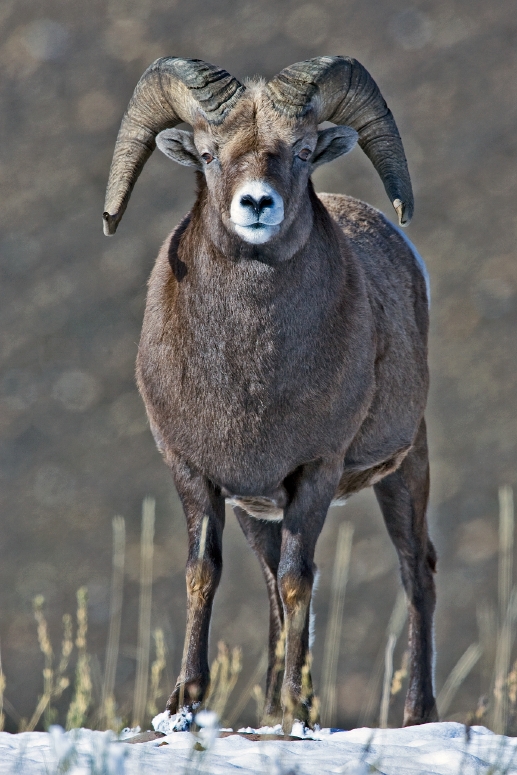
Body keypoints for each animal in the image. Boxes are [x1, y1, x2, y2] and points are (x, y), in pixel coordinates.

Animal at [103, 56, 437, 731]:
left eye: (304, 151)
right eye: (208, 153)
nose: (257, 203)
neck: (250, 378)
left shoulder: (315, 473)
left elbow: (296, 581)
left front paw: (297, 714)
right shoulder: (197, 474)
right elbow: (204, 575)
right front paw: (183, 705)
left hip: (406, 466)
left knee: (416, 573)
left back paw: (417, 716)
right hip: (259, 511)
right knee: (267, 587)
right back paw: (263, 705)